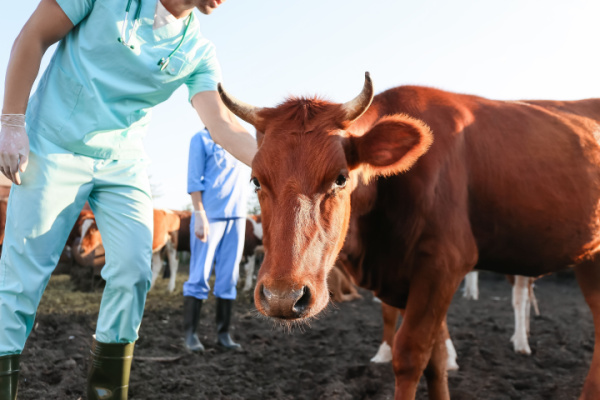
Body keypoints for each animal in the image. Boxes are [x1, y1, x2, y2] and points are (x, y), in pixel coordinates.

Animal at [218, 72, 600, 400]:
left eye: (341, 178)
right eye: (256, 180)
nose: (283, 297)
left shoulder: (444, 265)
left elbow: (412, 355)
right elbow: (436, 360)